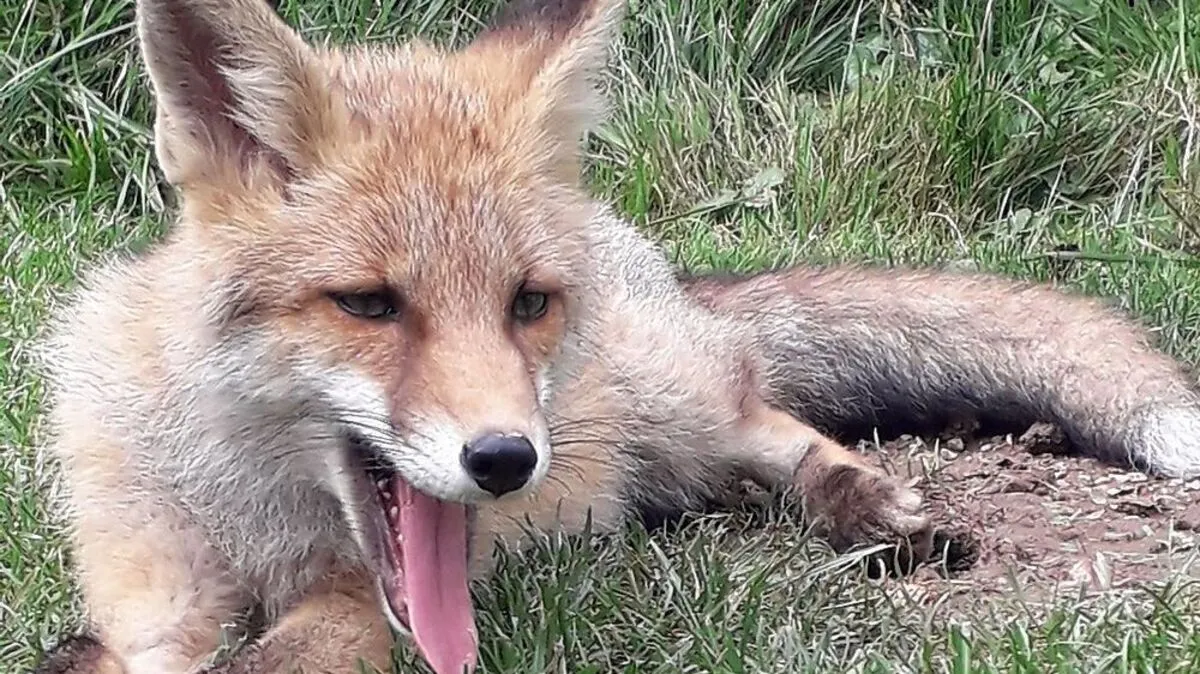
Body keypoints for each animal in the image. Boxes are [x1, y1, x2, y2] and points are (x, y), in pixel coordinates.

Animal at [28, 0, 1200, 672]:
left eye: (524, 303)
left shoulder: (354, 608)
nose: (506, 459)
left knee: (767, 418)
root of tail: (651, 261)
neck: (251, 506)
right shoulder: (147, 590)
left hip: (677, 407)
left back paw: (860, 501)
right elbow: (109, 649)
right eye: (368, 305)